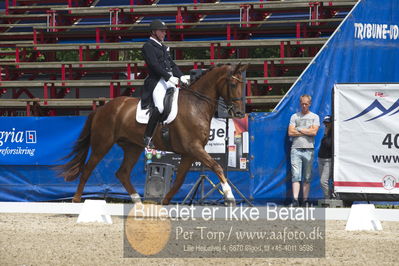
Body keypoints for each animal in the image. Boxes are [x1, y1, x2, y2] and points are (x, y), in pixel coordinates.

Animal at [57, 63, 248, 205]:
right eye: (233, 84)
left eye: (243, 84)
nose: (239, 113)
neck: (196, 104)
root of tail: (102, 108)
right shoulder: (194, 148)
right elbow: (216, 166)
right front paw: (229, 195)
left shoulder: (189, 153)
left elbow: (179, 180)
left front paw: (165, 202)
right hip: (102, 144)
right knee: (88, 168)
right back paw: (76, 200)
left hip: (132, 147)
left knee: (122, 173)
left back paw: (137, 202)